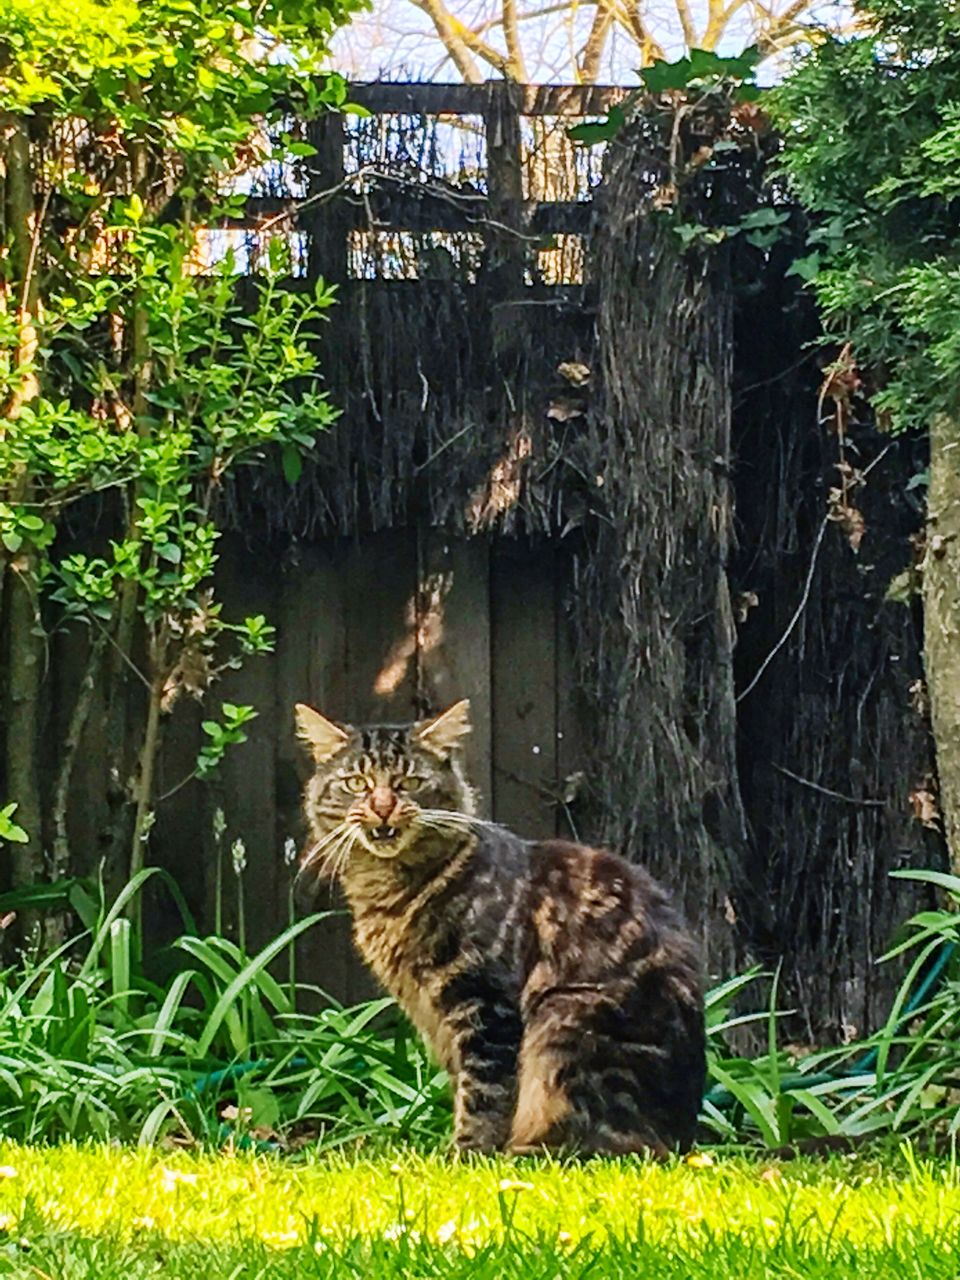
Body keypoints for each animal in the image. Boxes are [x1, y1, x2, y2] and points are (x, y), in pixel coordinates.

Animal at [296, 701, 711, 1162]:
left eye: (408, 782)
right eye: (357, 783)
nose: (383, 807)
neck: (390, 893)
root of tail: (683, 1139)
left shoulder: (485, 1003)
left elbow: (483, 1095)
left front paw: (464, 1156)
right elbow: (466, 1087)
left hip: (564, 1021)